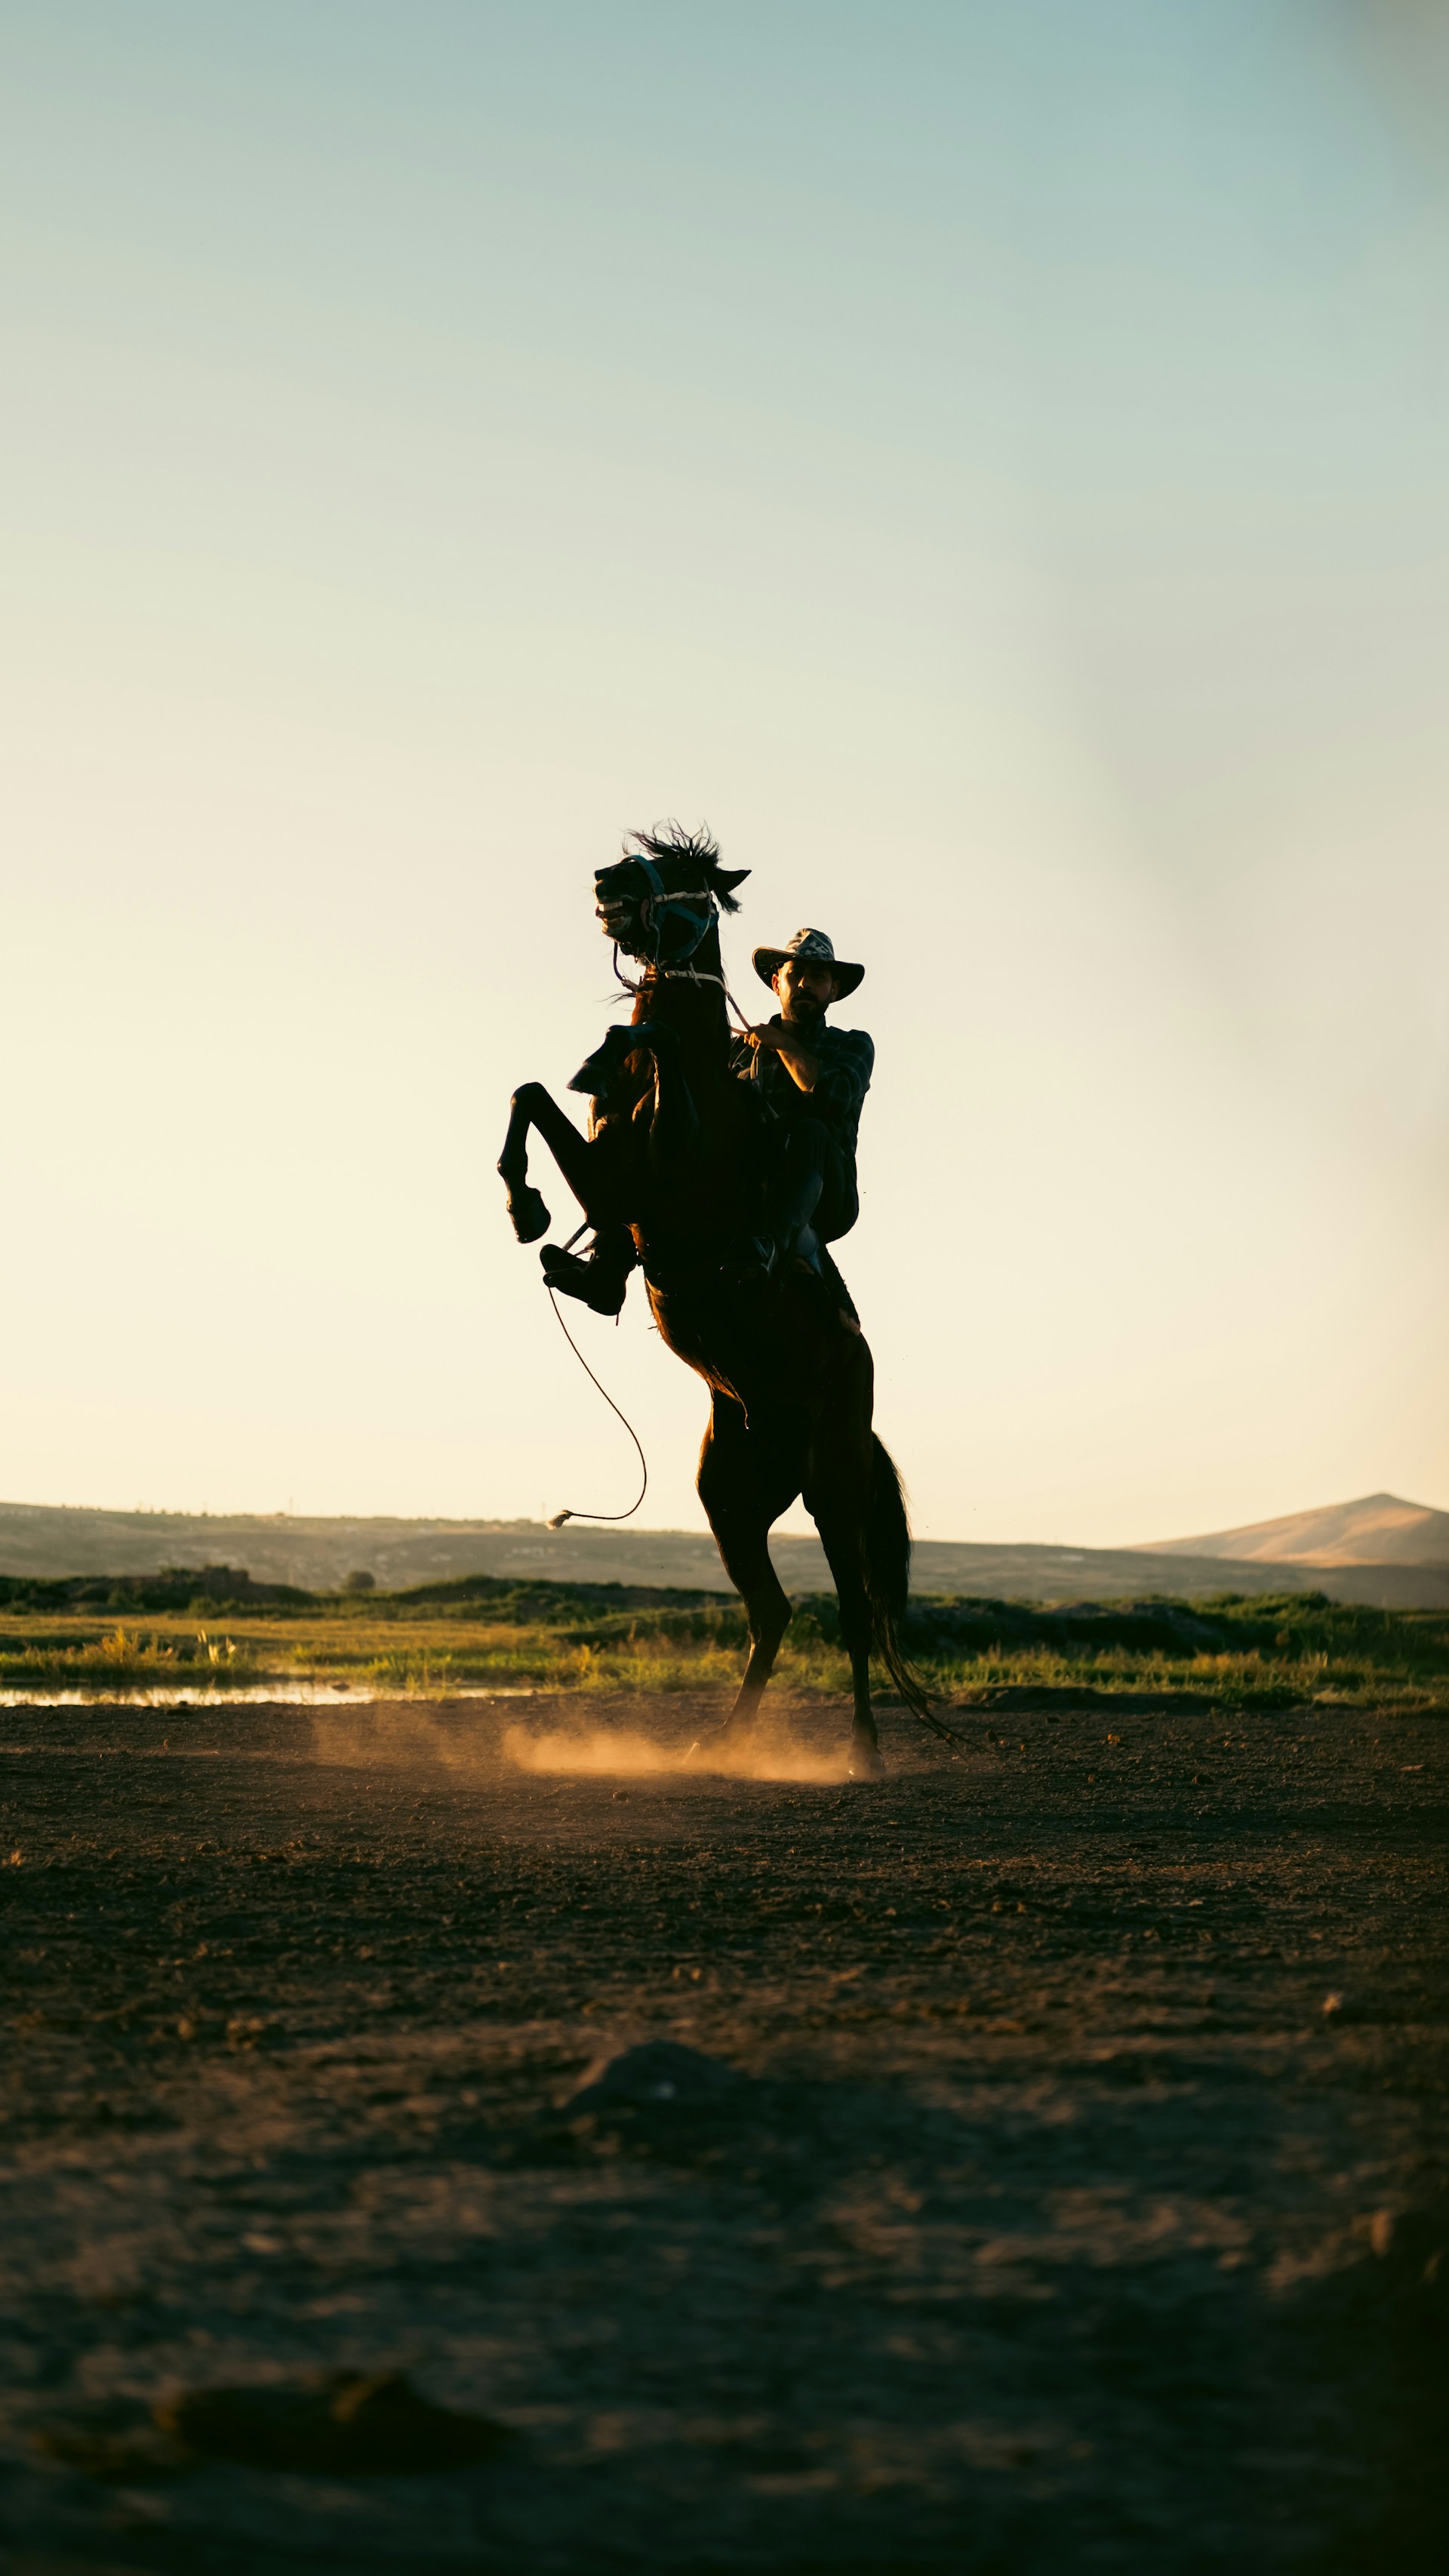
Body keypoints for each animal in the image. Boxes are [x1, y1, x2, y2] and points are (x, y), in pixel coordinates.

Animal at [498, 824, 938, 1777]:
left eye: (689, 878)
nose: (609, 881)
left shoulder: (664, 1170)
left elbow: (651, 1059)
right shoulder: (612, 1182)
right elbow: (531, 1095)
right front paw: (531, 1212)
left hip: (832, 1487)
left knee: (853, 1613)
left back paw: (861, 1748)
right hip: (730, 1501)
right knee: (770, 1613)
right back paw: (722, 1740)